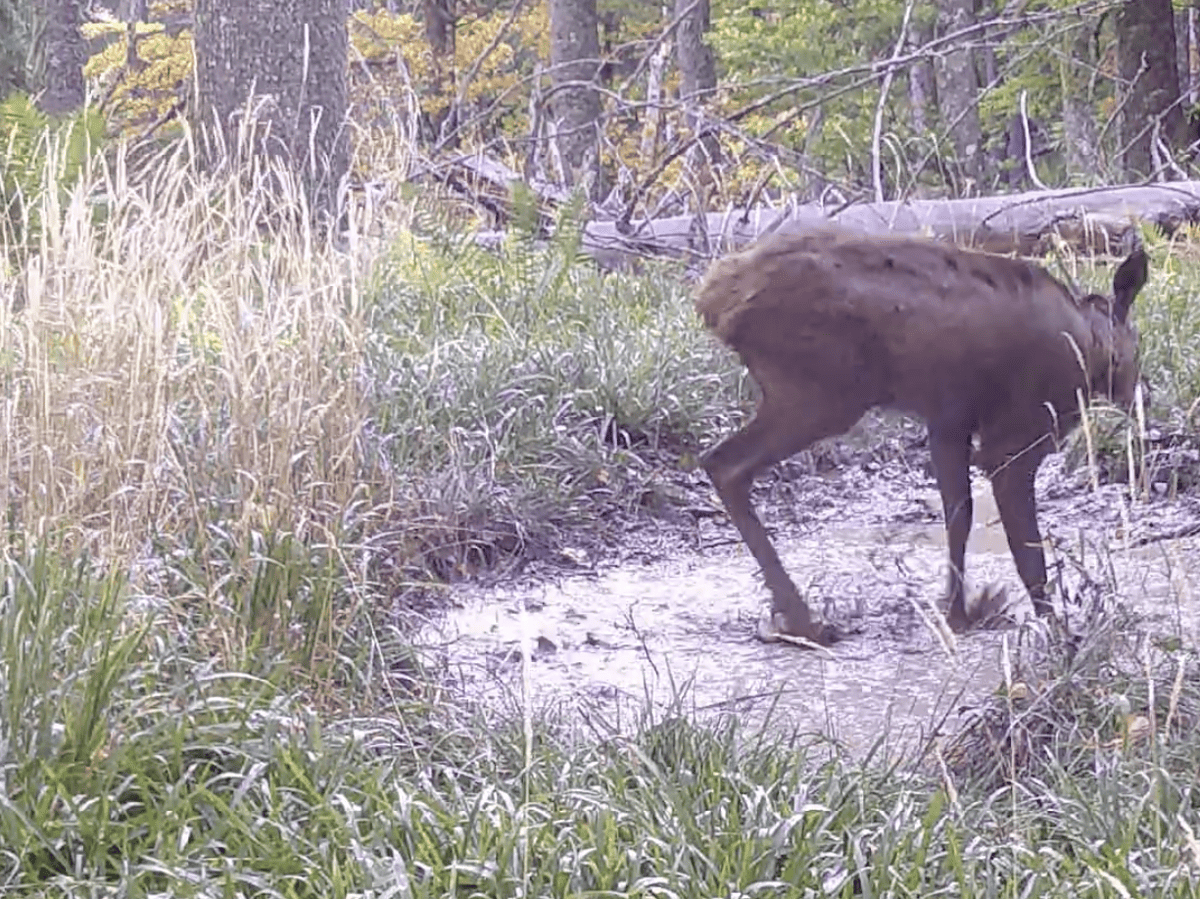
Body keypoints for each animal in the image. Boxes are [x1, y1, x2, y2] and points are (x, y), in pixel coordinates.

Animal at [700, 228, 1147, 643]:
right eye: (1138, 345)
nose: (1135, 399)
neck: (1090, 346)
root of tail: (713, 302)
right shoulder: (1014, 437)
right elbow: (1027, 549)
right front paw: (1057, 630)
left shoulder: (947, 421)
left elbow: (959, 515)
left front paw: (957, 612)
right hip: (821, 394)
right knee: (724, 464)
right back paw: (802, 619)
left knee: (720, 463)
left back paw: (788, 616)